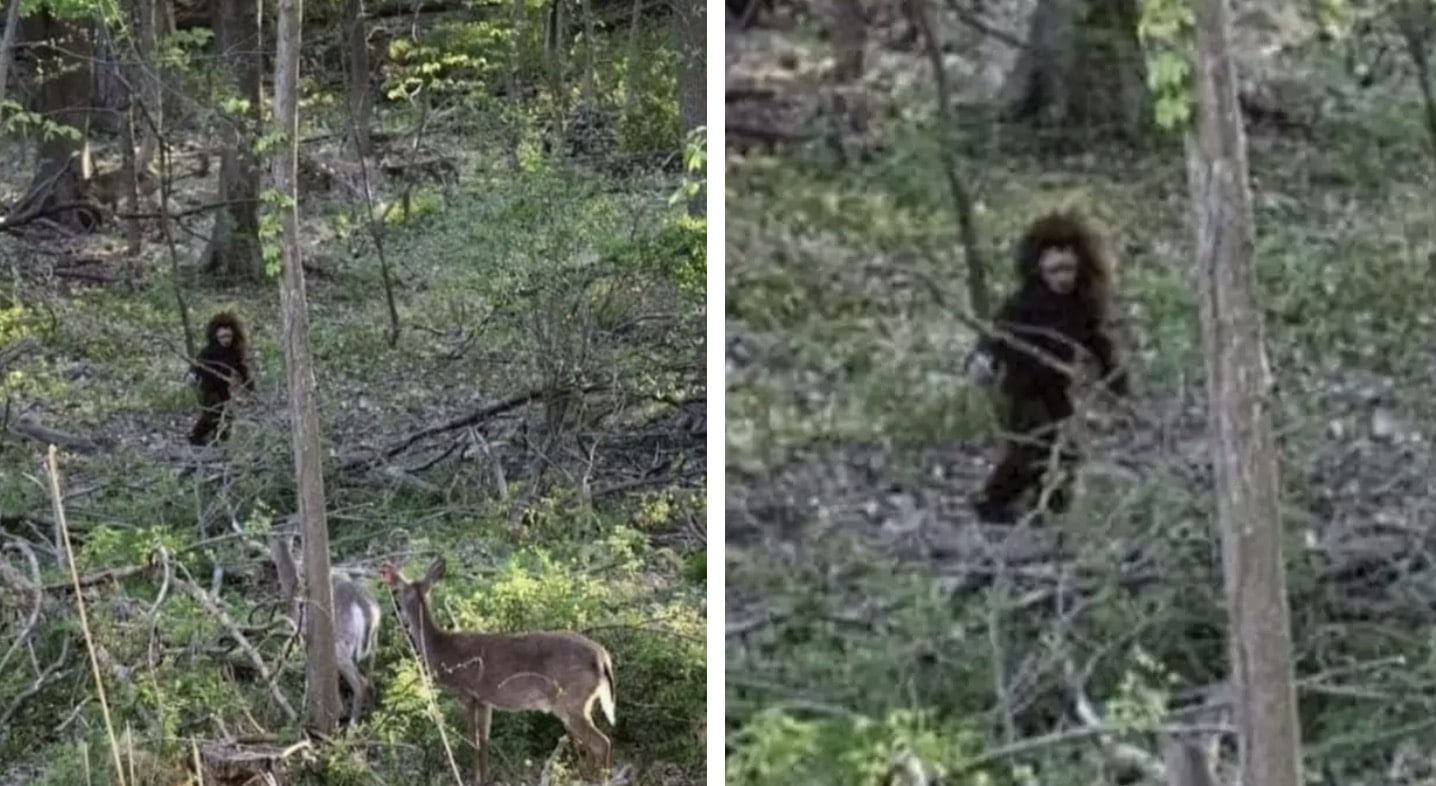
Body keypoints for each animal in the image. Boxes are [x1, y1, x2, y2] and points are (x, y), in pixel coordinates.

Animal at [269, 534, 381, 727]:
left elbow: (311, 670)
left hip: (341, 645)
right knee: (370, 681)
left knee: (360, 684)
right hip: (373, 645)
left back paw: (351, 725)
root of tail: (369, 611)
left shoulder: (305, 634)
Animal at [379, 560, 614, 786]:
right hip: (581, 702)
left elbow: (472, 739)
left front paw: (474, 779)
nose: (396, 613)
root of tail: (602, 657)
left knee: (601, 742)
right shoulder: (485, 700)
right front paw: (485, 778)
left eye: (397, 592)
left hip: (570, 700)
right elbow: (484, 740)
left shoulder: (467, 693)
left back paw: (600, 779)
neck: (441, 648)